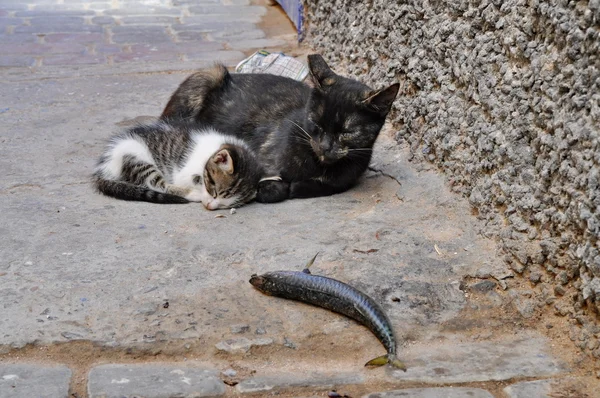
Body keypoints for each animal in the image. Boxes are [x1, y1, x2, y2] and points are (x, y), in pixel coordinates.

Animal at [92, 121, 262, 210]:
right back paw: (192, 194)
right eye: (214, 192)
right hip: (137, 157)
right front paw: (198, 189)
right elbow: (189, 179)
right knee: (157, 184)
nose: (210, 206)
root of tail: (105, 166)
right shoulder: (183, 171)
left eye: (223, 205)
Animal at [162, 53, 400, 204]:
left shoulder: (342, 179)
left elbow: (317, 186)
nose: (324, 147)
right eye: (316, 124)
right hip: (207, 75)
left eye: (346, 133)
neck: (318, 165)